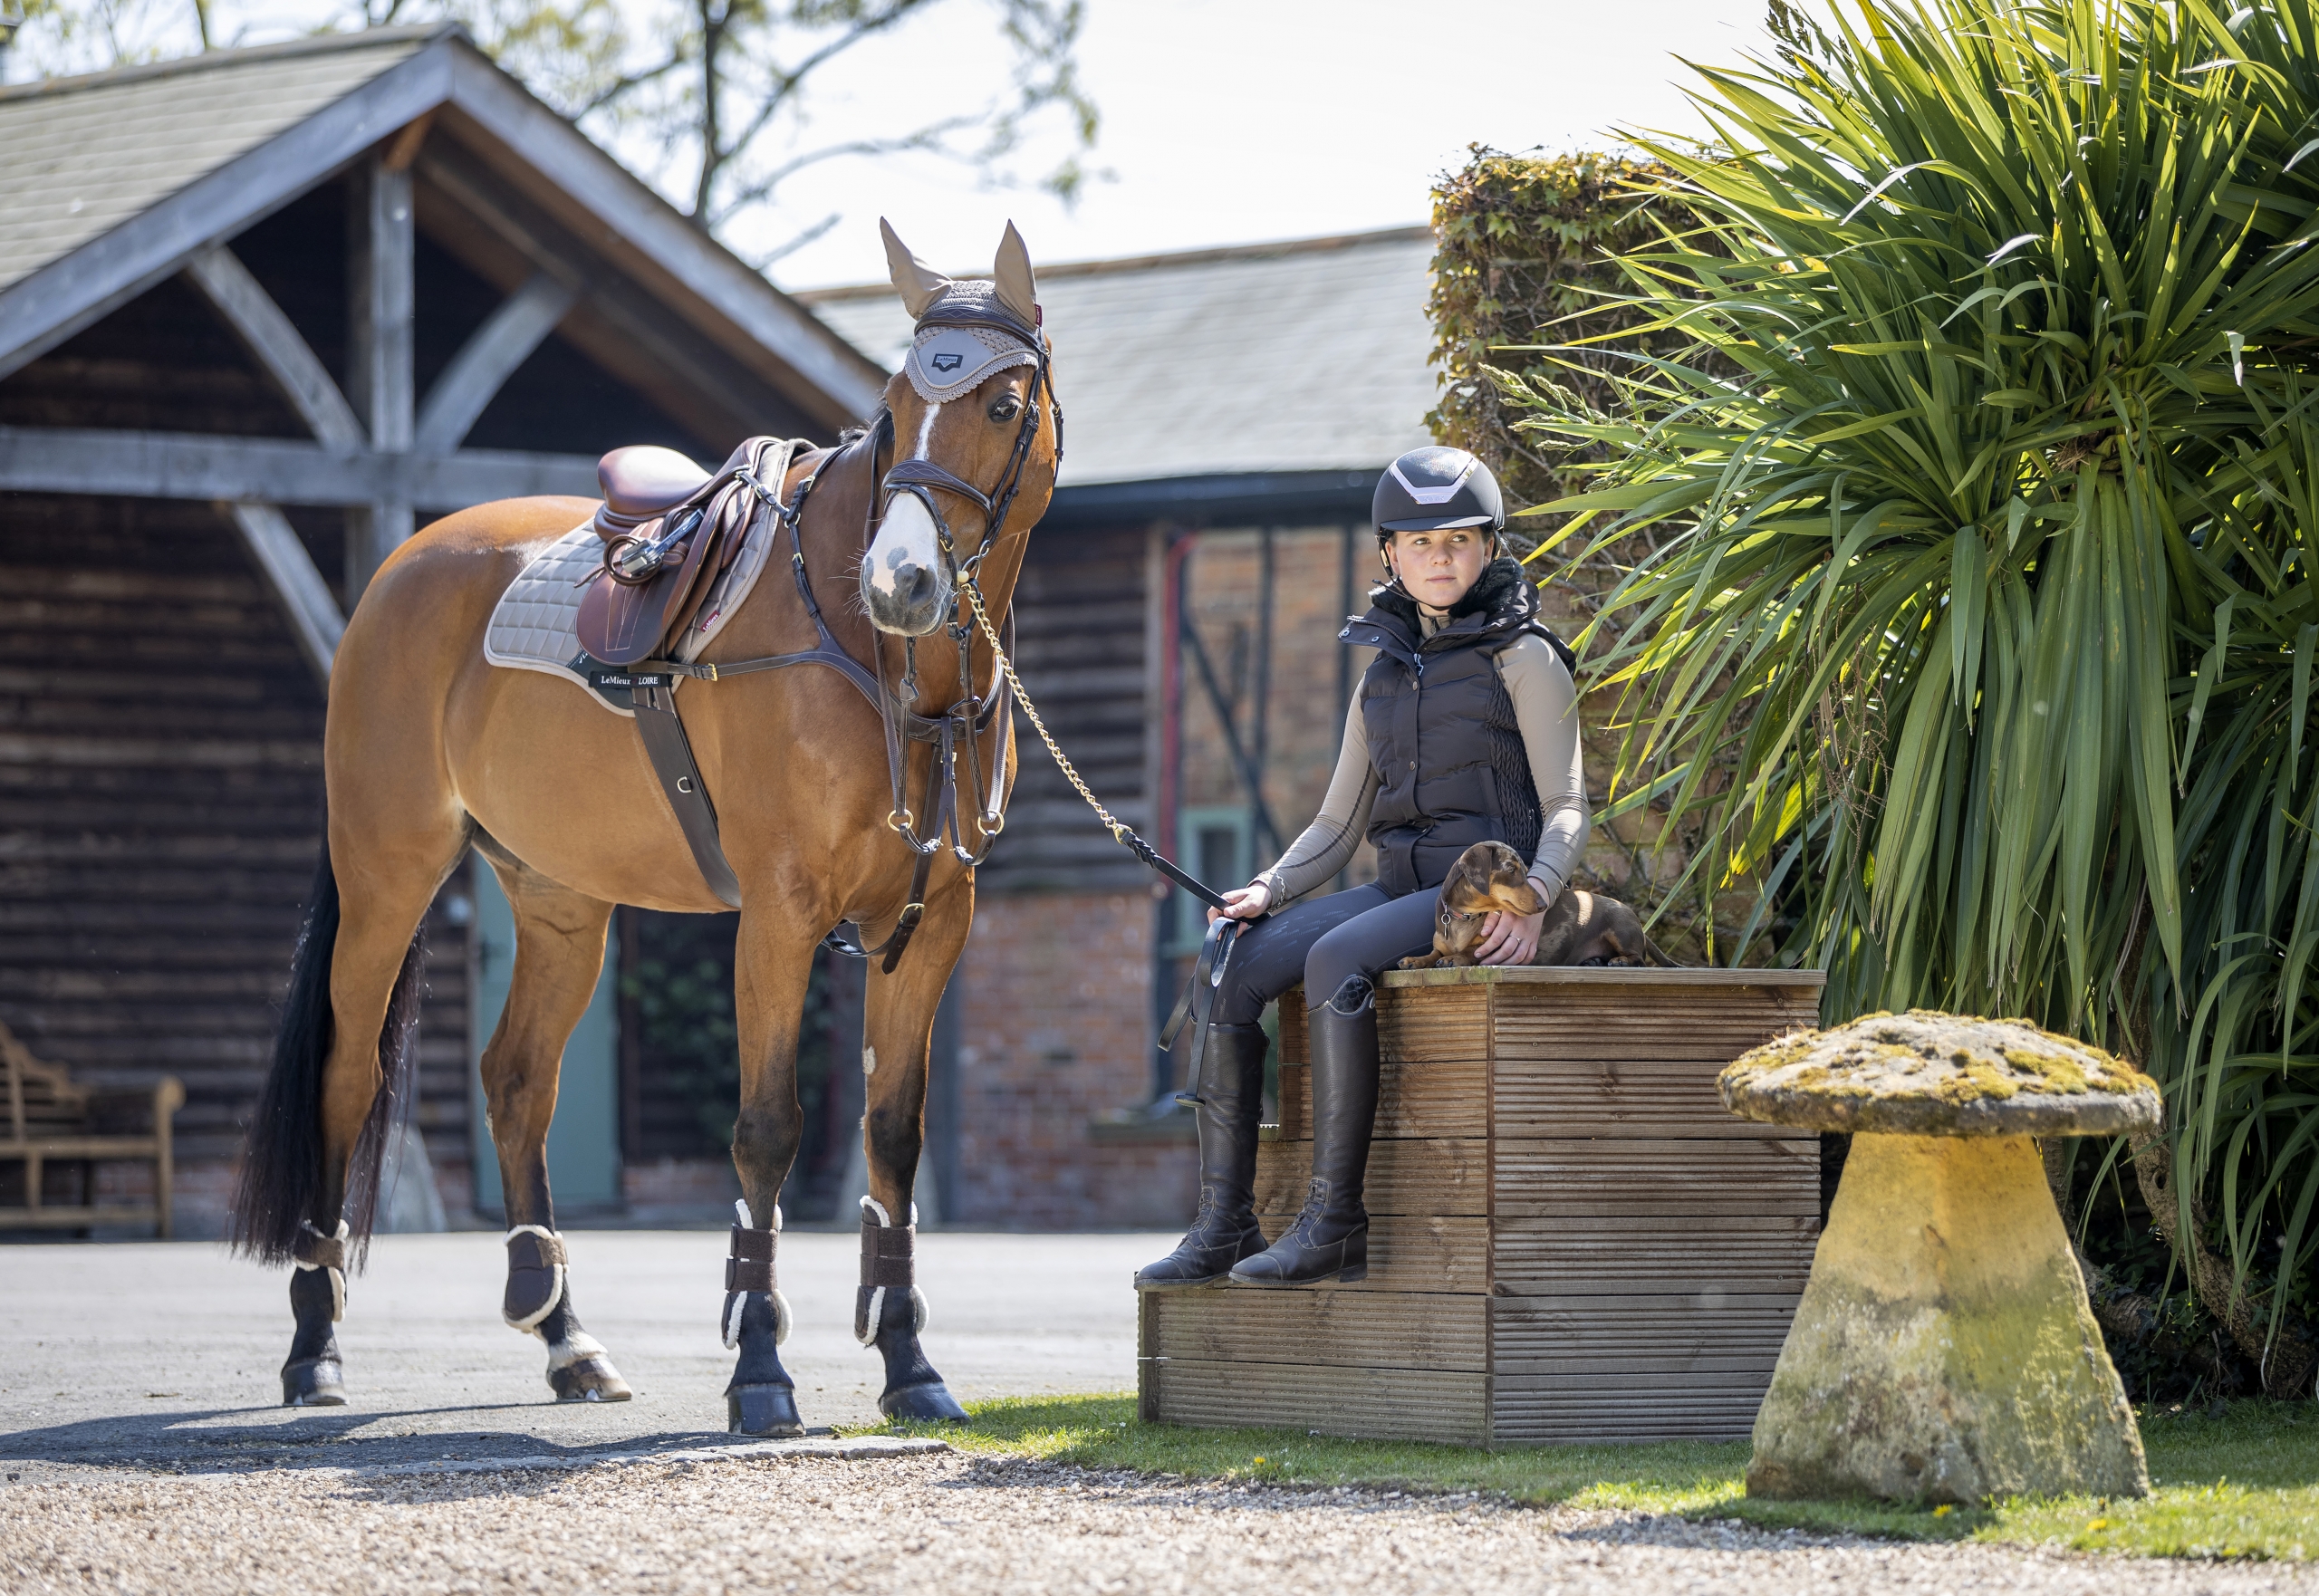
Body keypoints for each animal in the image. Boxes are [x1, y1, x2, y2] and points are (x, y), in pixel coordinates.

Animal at [226, 221, 1062, 1437]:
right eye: (895, 407)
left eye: (1001, 404)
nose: (899, 580)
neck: (885, 661)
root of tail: (401, 569)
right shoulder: (779, 914)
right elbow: (766, 1127)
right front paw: (759, 1368)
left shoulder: (930, 924)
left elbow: (891, 1134)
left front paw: (909, 1363)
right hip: (386, 876)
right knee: (348, 1074)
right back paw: (315, 1347)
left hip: (561, 899)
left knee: (517, 1080)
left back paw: (565, 1334)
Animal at [1391, 840, 1669, 965]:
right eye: (1511, 869)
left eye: (1526, 871)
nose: (1543, 905)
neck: (1466, 916)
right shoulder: (1441, 945)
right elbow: (1433, 953)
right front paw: (1415, 960)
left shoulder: (1494, 946)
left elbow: (1472, 951)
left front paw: (1456, 958)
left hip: (1620, 929)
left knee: (1639, 958)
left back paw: (1620, 960)